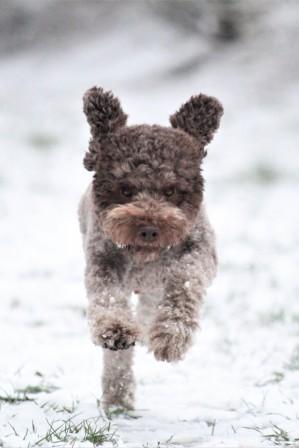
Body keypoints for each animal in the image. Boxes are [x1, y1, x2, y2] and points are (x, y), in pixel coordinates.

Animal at [78, 86, 224, 412]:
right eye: (125, 189)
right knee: (119, 355)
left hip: (155, 286)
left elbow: (185, 284)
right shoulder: (103, 259)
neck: (144, 257)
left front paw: (171, 336)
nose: (148, 229)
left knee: (149, 308)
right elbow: (107, 299)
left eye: (170, 190)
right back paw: (118, 396)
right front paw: (117, 330)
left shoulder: (198, 251)